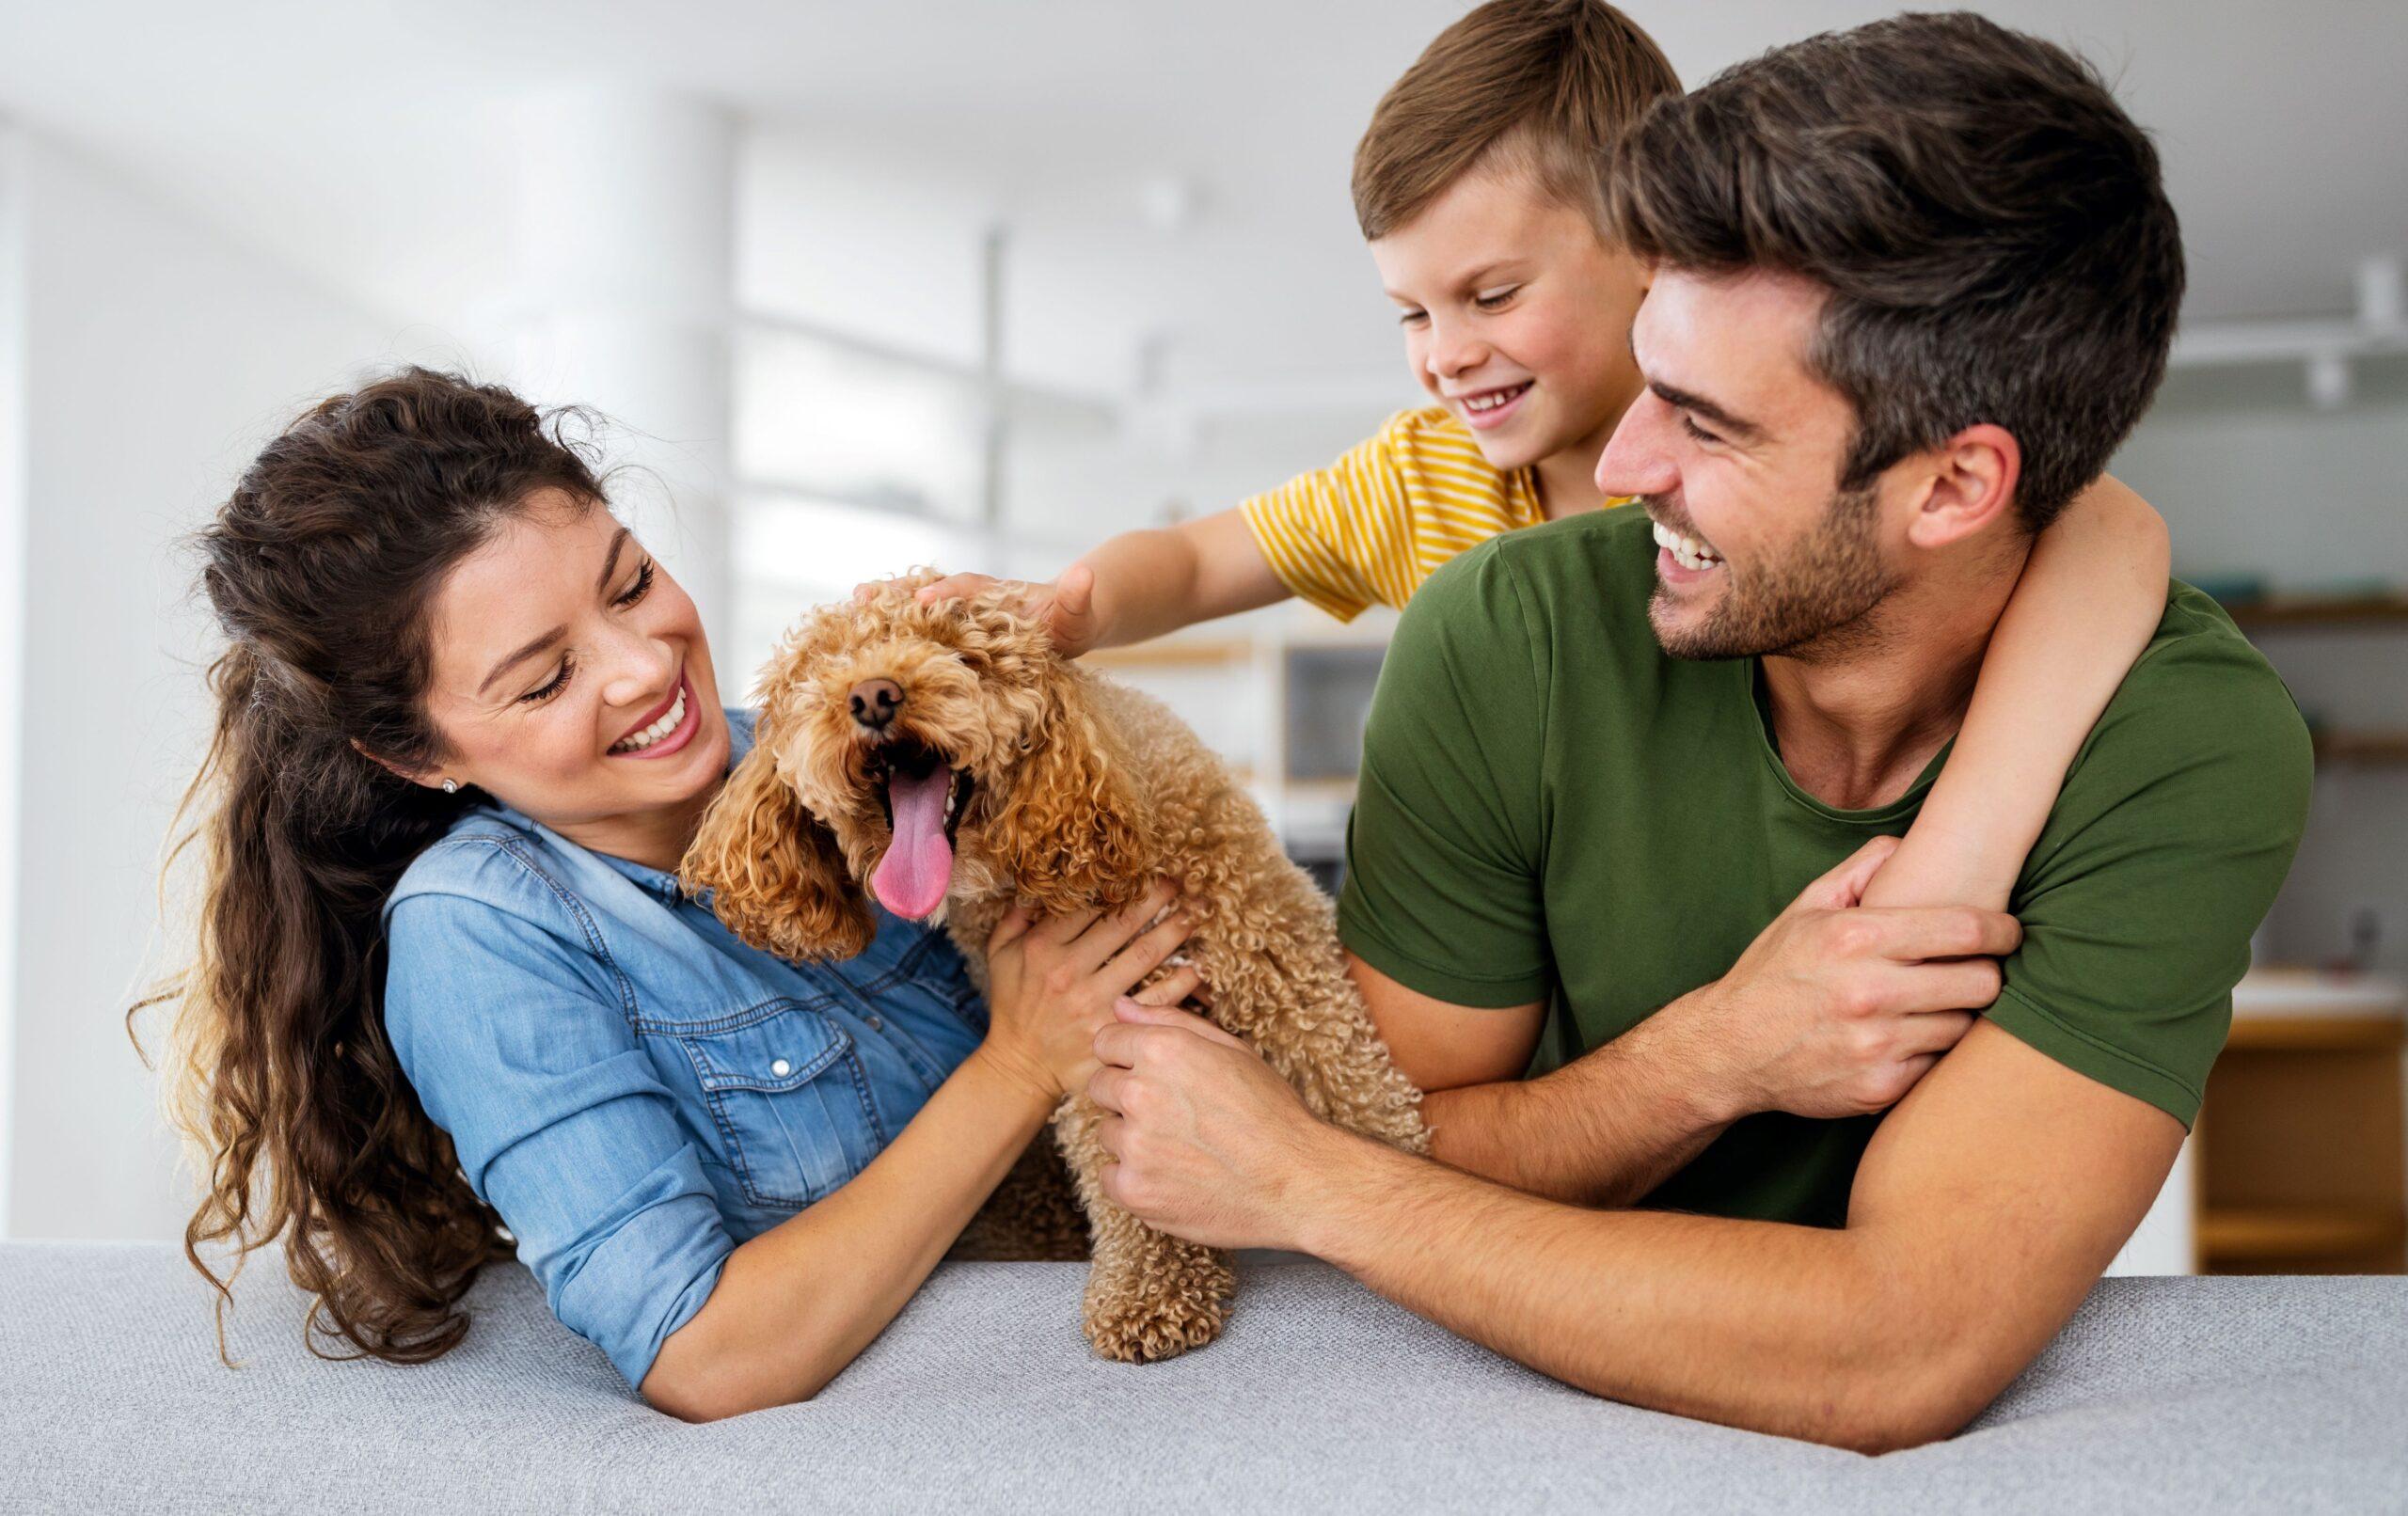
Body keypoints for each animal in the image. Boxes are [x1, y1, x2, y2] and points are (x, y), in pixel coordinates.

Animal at [678, 570, 1425, 1366]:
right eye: (821, 669)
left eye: (960, 652)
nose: (872, 696)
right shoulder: (1096, 1038)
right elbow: (1121, 1173)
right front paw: (1149, 1291)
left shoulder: (1272, 946)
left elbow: (1351, 1078)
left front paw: (1386, 1178)